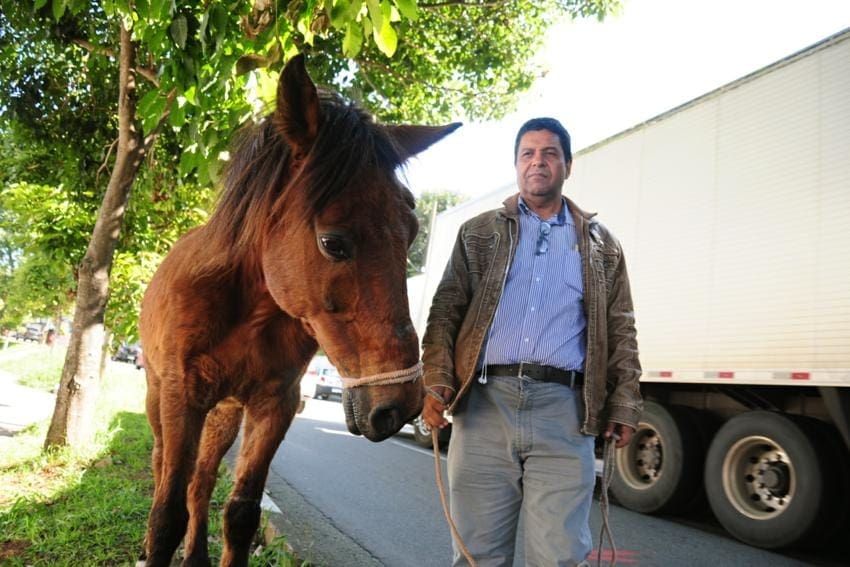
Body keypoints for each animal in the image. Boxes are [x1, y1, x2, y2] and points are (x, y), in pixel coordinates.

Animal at [138, 54, 460, 566]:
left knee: (202, 479)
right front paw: (157, 543)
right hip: (160, 398)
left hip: (225, 412)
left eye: (411, 231)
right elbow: (166, 514)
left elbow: (241, 513)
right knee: (162, 465)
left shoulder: (276, 404)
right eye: (332, 242)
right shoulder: (180, 395)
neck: (248, 311)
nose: (400, 406)